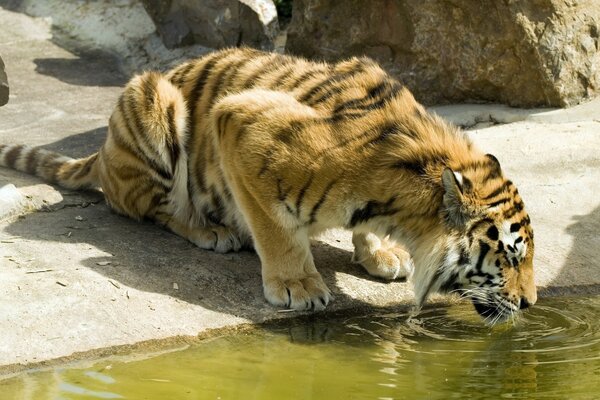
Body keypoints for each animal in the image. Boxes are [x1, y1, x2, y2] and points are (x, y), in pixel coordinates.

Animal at [0, 47, 536, 324]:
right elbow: (277, 230)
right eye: (510, 257)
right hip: (154, 99)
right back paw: (211, 231)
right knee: (155, 209)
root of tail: (104, 151)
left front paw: (381, 253)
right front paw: (298, 286)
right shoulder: (244, 125)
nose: (531, 301)